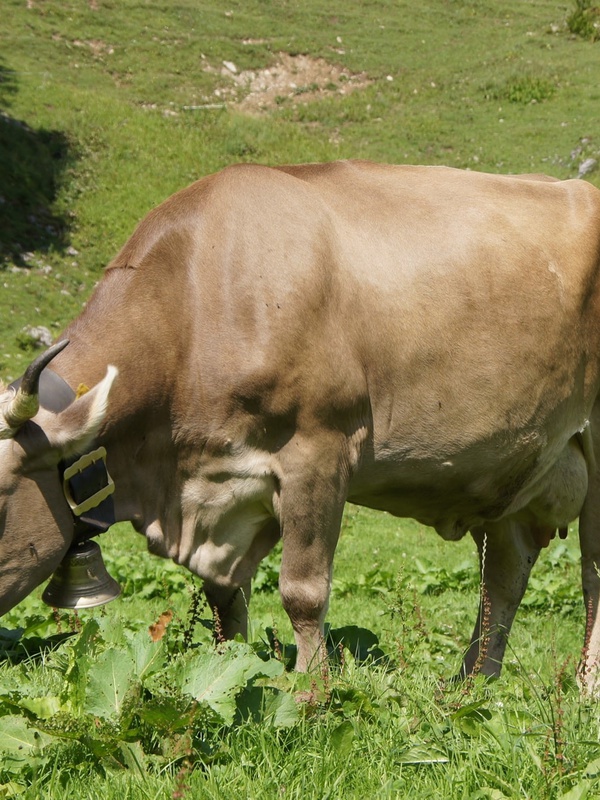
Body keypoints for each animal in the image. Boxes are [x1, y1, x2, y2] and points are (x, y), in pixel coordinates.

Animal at [3, 159, 600, 684]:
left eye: (3, 499)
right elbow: (224, 597)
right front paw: (227, 669)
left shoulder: (318, 450)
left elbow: (302, 592)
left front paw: (313, 690)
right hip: (516, 468)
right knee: (503, 576)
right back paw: (473, 683)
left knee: (591, 572)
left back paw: (584, 684)